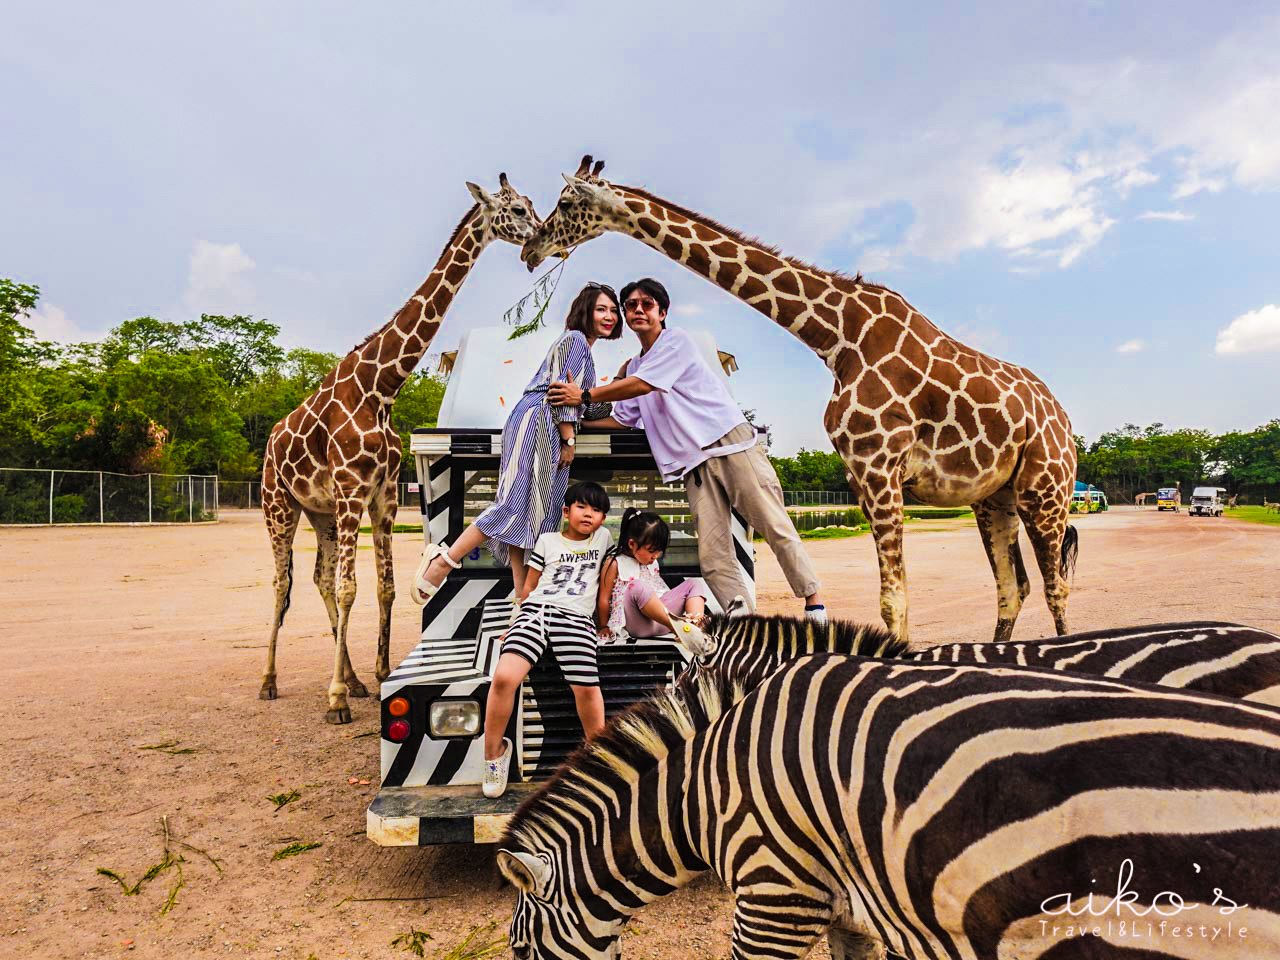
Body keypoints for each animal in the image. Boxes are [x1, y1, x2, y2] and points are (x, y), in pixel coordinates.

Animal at [259, 172, 540, 721]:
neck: (381, 386)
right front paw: (335, 699)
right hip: (279, 504)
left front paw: (380, 672)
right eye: (516, 209)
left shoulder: (383, 495)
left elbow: (383, 585)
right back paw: (270, 680)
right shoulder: (352, 488)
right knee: (282, 582)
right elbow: (350, 587)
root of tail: (271, 441)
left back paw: (351, 678)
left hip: (320, 511)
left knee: (318, 577)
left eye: (532, 204)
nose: (539, 235)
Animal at [522, 158, 1080, 647]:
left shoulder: (881, 467)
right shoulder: (863, 474)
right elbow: (899, 596)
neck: (838, 338)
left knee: (1055, 586)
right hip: (995, 496)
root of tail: (1063, 418)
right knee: (1014, 587)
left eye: (567, 201)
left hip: (1045, 489)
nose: (531, 245)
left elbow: (893, 599)